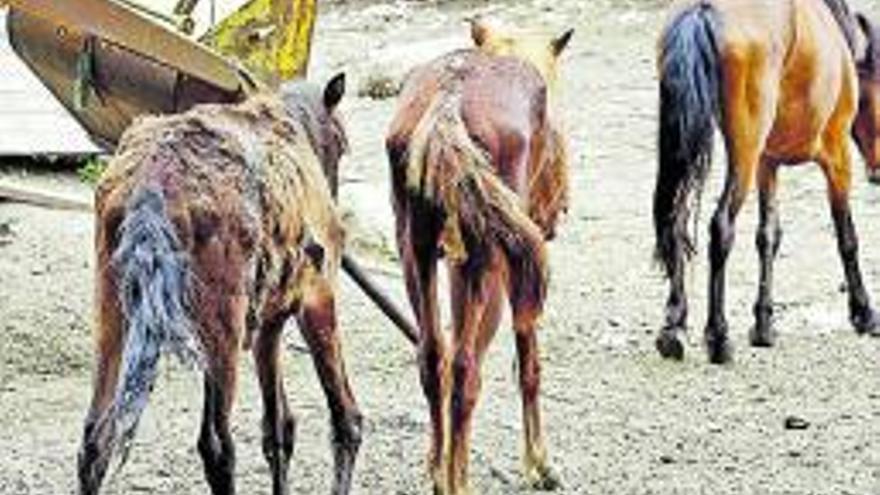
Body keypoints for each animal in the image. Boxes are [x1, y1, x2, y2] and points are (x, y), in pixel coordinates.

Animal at [76, 73, 364, 495]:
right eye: (342, 144)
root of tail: (152, 185)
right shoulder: (316, 297)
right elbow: (345, 418)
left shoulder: (267, 321)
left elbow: (278, 427)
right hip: (221, 324)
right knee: (216, 444)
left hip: (113, 309)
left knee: (96, 438)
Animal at [384, 19, 572, 495]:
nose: (560, 206)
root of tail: (448, 100)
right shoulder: (524, 262)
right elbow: (529, 363)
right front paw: (539, 462)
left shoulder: (452, 259)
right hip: (488, 258)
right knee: (465, 366)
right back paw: (458, 481)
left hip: (415, 247)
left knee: (434, 355)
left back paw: (440, 473)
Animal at [652, 0, 880, 364]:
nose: (877, 171)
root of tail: (704, 9)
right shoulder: (837, 158)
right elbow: (847, 238)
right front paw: (864, 313)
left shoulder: (767, 163)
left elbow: (768, 237)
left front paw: (763, 324)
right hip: (745, 153)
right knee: (721, 226)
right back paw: (718, 336)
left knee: (675, 224)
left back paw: (673, 327)